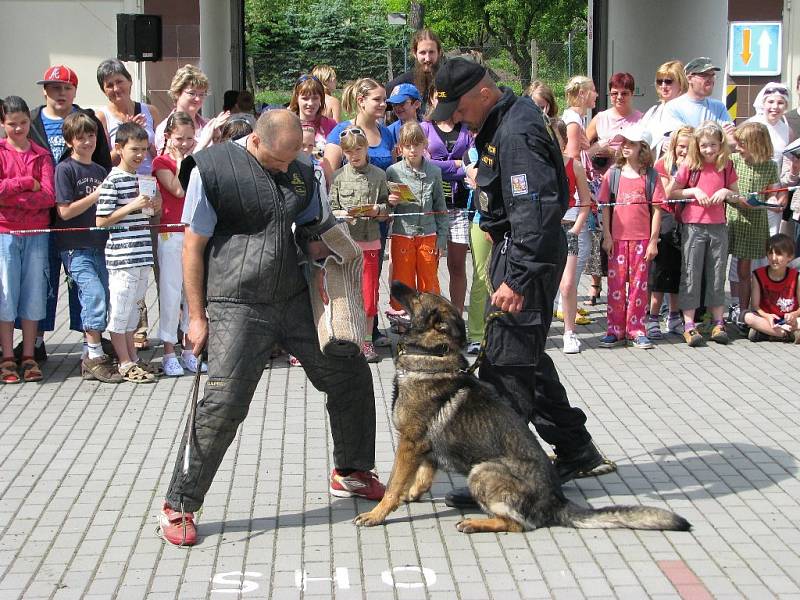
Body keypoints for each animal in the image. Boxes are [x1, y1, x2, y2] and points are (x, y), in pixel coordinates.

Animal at [354, 282, 692, 536]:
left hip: (482, 470)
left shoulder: (409, 444)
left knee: (518, 524)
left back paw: (475, 522)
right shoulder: (425, 447)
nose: (395, 283)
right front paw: (412, 494)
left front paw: (378, 513)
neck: (432, 355)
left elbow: (394, 484)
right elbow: (422, 475)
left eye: (418, 294)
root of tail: (557, 502)